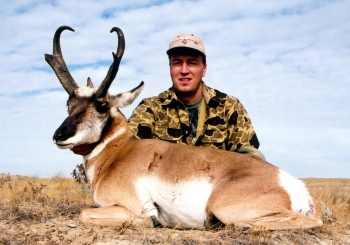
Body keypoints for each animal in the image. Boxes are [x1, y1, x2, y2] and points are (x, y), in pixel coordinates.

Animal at [45, 26, 322, 230]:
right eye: (69, 103)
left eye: (101, 105)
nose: (59, 135)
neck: (118, 153)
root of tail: (295, 186)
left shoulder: (132, 209)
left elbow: (84, 214)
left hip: (225, 207)